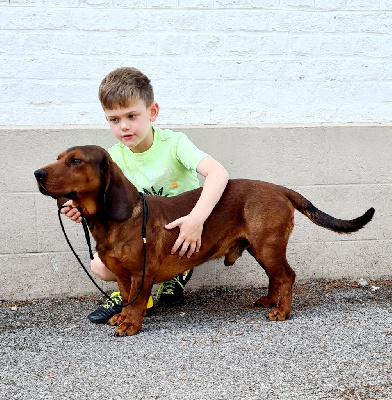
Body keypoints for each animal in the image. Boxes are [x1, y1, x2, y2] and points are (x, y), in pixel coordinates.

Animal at [34, 145, 374, 336]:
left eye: (76, 161)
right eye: (58, 158)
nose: (37, 173)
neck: (115, 221)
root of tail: (280, 189)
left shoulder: (142, 273)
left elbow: (137, 303)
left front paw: (130, 324)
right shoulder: (122, 275)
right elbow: (127, 297)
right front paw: (122, 315)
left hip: (267, 247)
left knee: (287, 276)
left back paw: (282, 311)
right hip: (260, 249)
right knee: (275, 278)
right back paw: (269, 301)